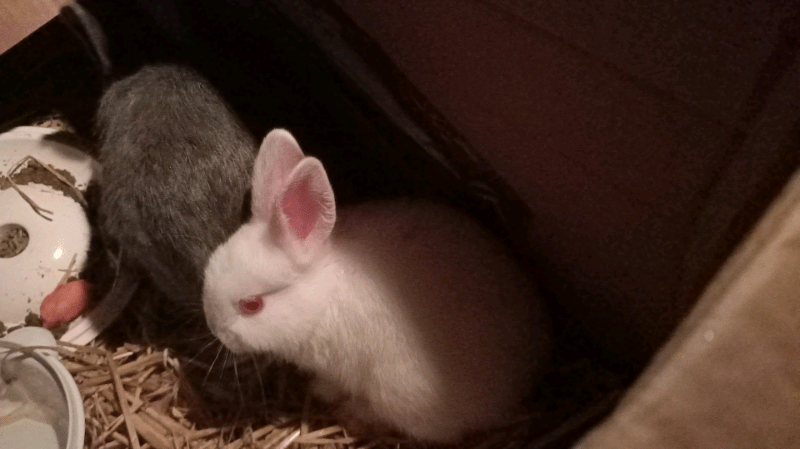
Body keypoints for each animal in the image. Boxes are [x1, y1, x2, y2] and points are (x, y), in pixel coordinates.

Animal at [202, 129, 552, 443]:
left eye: (252, 305)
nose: (215, 329)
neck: (323, 296)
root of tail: (528, 376)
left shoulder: (338, 368)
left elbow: (332, 385)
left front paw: (319, 392)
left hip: (398, 393)